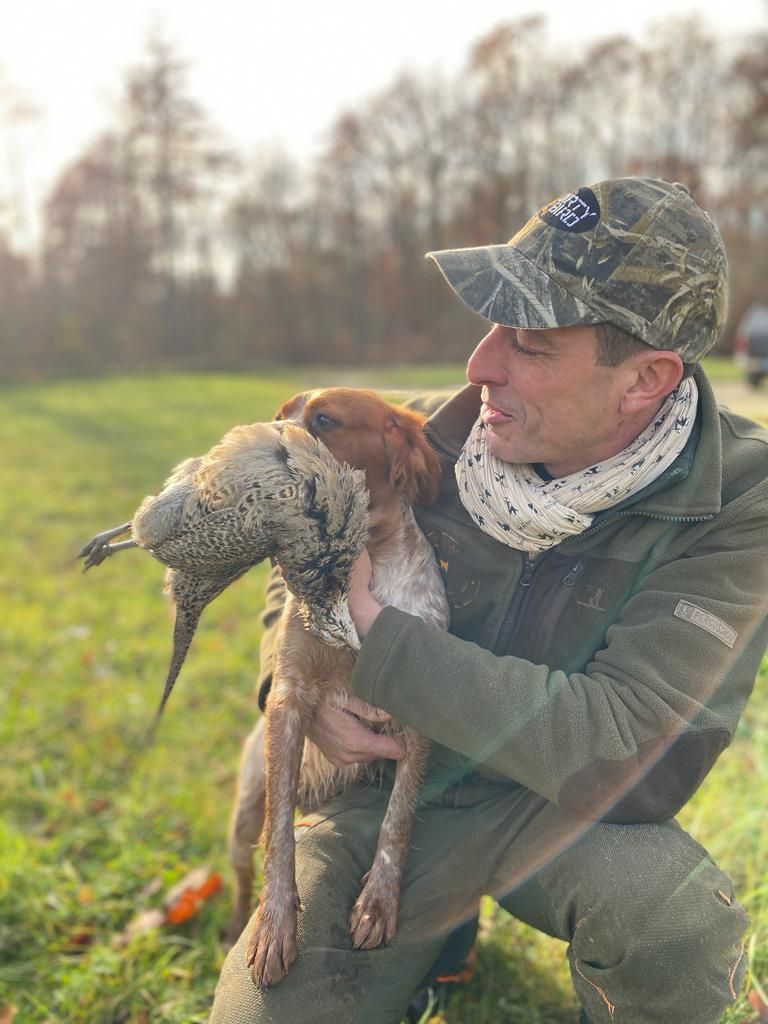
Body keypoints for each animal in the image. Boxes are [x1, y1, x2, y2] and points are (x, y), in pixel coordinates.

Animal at [231, 387, 454, 987]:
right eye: (278, 416)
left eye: (324, 421)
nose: (247, 449)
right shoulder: (288, 700)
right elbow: (279, 835)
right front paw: (274, 927)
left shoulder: (418, 713)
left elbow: (397, 821)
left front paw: (377, 904)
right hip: (243, 808)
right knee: (243, 864)